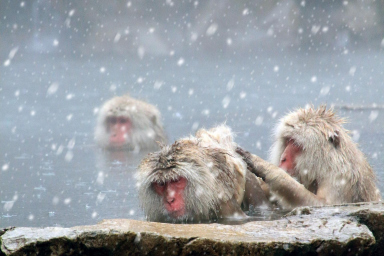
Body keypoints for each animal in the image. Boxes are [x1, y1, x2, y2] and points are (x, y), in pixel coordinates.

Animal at [237, 105, 380, 211]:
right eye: (288, 140)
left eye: (295, 143)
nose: (283, 158)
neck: (323, 166)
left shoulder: (341, 175)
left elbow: (324, 204)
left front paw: (267, 168)